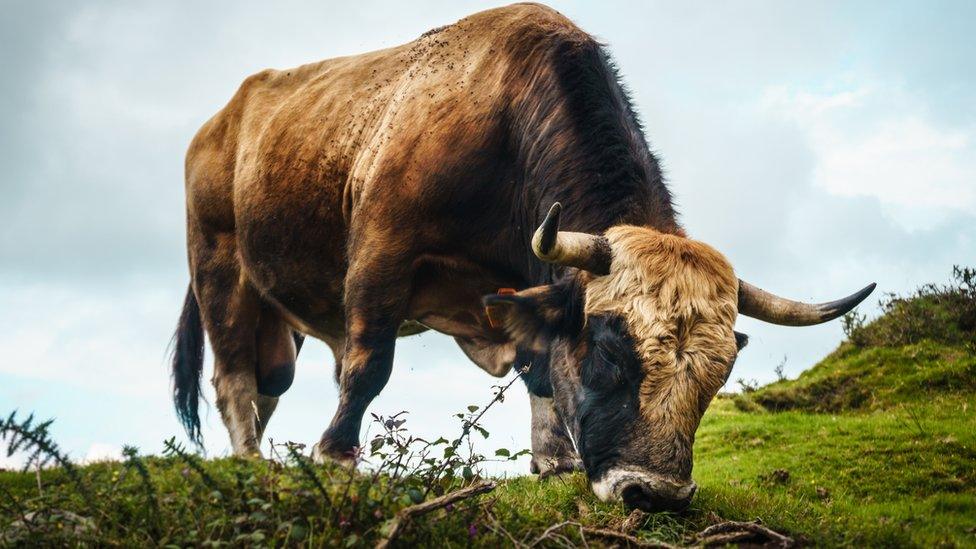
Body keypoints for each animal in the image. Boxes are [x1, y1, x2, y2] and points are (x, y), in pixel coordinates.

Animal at [172, 4, 872, 512]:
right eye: (610, 352)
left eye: (721, 373)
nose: (655, 494)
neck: (505, 123)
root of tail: (222, 118)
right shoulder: (382, 250)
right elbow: (368, 365)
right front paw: (337, 458)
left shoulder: (526, 283)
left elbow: (539, 370)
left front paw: (553, 465)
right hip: (219, 268)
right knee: (232, 376)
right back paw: (249, 461)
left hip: (279, 315)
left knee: (268, 383)